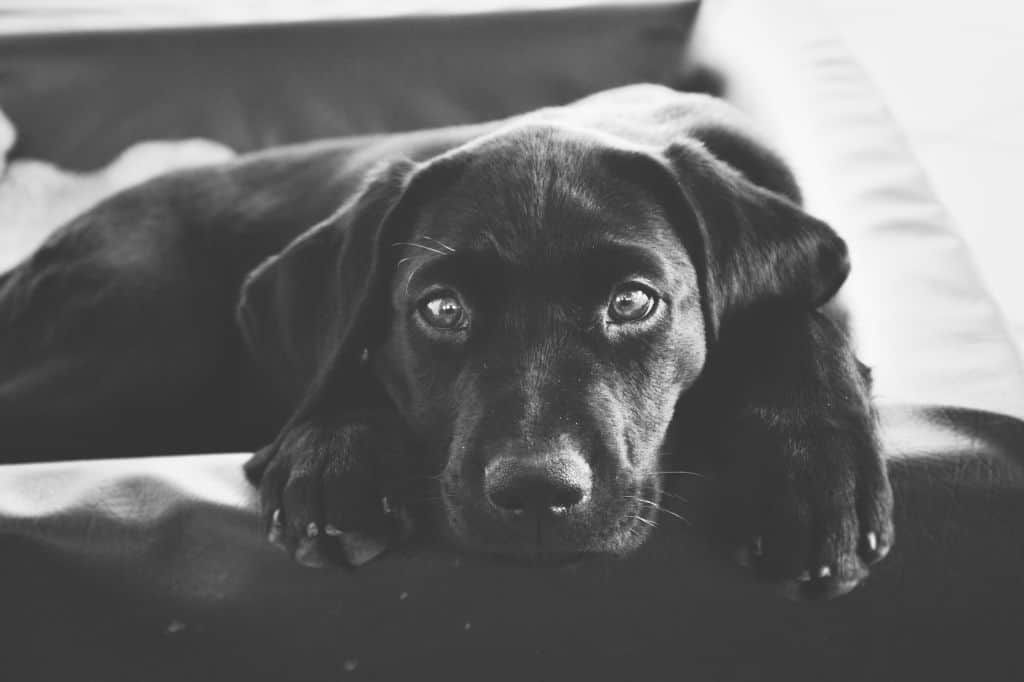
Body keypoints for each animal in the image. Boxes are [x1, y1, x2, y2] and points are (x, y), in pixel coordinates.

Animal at [0, 83, 892, 593]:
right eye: (441, 309)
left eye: (634, 302)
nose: (537, 494)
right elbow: (345, 364)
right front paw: (332, 461)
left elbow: (794, 319)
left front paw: (811, 470)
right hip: (132, 348)